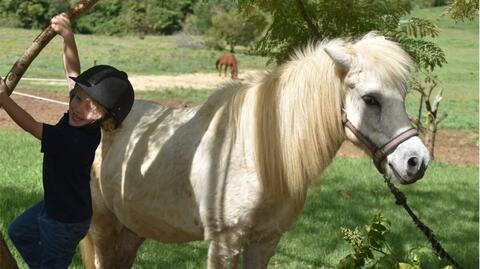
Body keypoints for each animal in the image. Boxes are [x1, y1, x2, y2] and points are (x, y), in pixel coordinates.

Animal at [80, 32, 430, 266]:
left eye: (403, 96)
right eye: (371, 99)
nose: (417, 161)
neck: (257, 154)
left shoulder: (266, 240)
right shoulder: (226, 242)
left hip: (132, 228)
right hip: (102, 224)